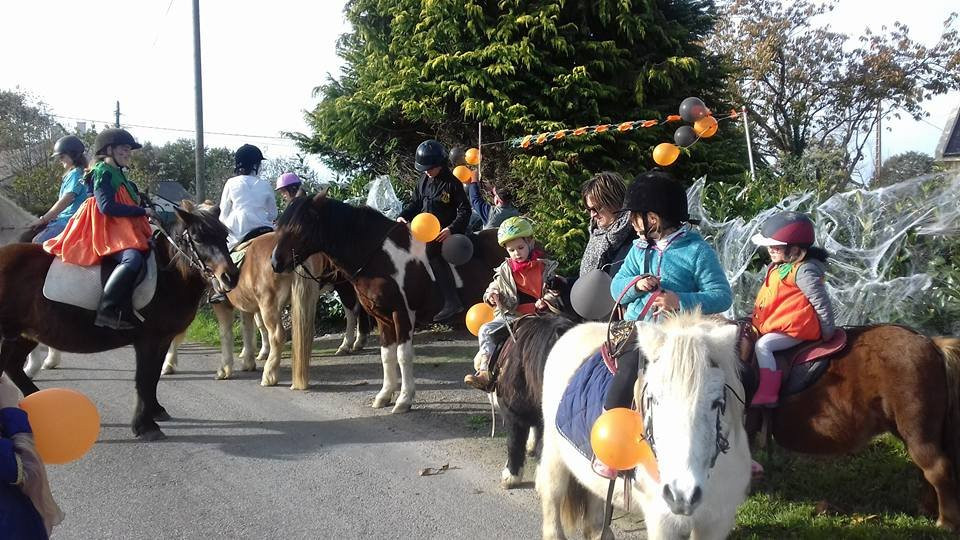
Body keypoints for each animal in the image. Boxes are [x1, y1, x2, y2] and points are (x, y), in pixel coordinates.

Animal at [0, 201, 239, 438]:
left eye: (224, 236)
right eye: (197, 238)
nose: (230, 276)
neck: (167, 276)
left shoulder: (163, 339)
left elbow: (153, 377)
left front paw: (155, 412)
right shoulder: (149, 340)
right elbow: (144, 378)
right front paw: (145, 425)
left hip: (23, 334)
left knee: (12, 367)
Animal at [270, 194, 502, 414]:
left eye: (299, 227)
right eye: (279, 225)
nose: (275, 262)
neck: (379, 255)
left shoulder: (402, 314)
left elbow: (402, 355)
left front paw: (404, 399)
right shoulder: (383, 317)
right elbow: (387, 356)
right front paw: (384, 395)